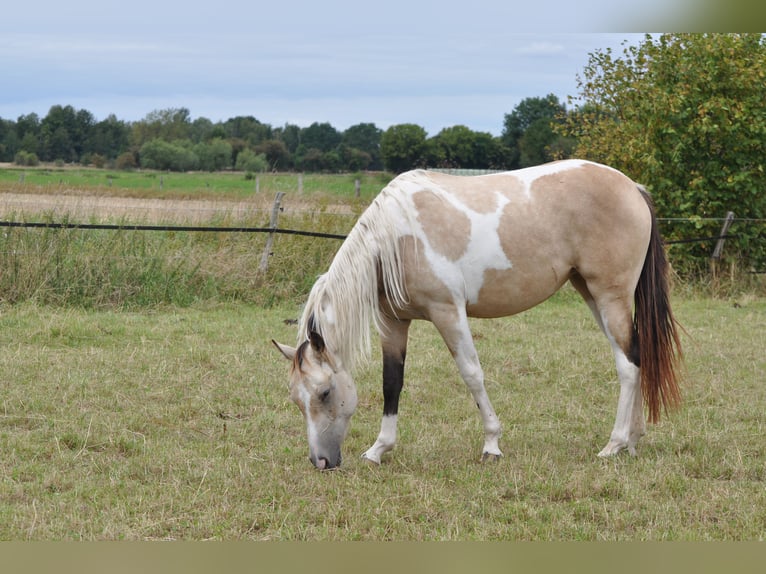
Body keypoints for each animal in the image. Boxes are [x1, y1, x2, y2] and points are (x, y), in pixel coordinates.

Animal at [272, 159, 683, 470]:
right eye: (296, 399)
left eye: (325, 392)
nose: (321, 462)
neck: (396, 239)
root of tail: (632, 188)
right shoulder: (394, 323)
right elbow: (392, 382)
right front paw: (379, 449)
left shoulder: (448, 313)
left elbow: (472, 375)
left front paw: (492, 444)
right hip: (592, 295)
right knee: (637, 356)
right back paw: (633, 441)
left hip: (610, 296)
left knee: (628, 366)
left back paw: (614, 444)